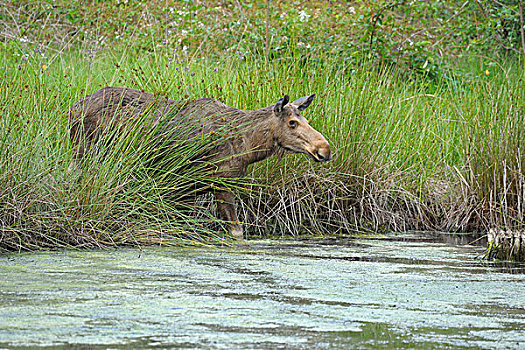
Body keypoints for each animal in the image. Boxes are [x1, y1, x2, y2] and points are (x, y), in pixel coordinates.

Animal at [68, 87, 332, 239]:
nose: (324, 149)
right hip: (84, 153)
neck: (249, 146)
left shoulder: (206, 186)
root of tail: (74, 106)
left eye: (306, 120)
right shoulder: (203, 182)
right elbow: (233, 231)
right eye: (292, 123)